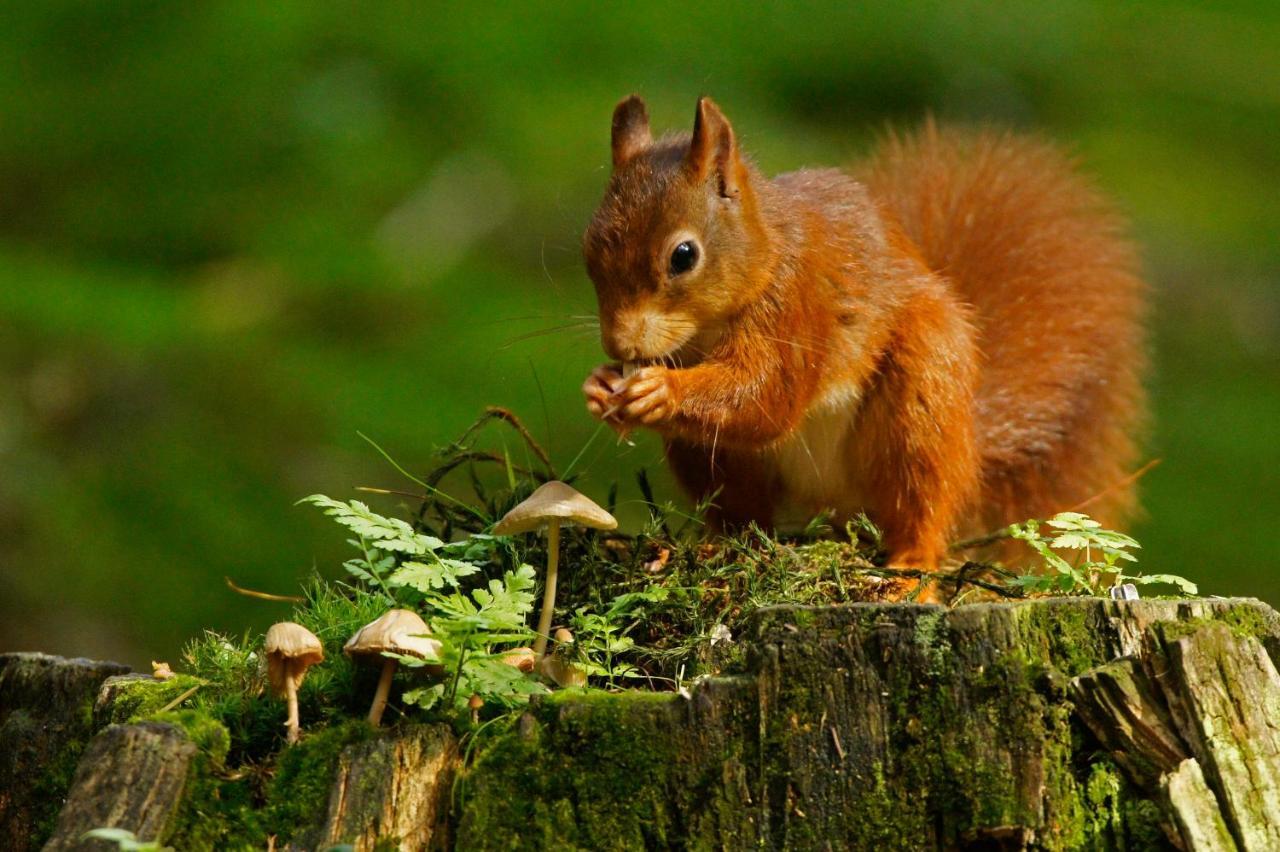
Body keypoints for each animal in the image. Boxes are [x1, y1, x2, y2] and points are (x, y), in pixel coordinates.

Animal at [581, 95, 1152, 591]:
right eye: (589, 250)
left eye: (683, 255)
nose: (619, 344)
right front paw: (600, 386)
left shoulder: (796, 306)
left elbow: (767, 397)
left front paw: (661, 391)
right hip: (712, 461)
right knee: (745, 516)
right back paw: (720, 547)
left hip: (920, 402)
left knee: (922, 505)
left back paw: (910, 568)